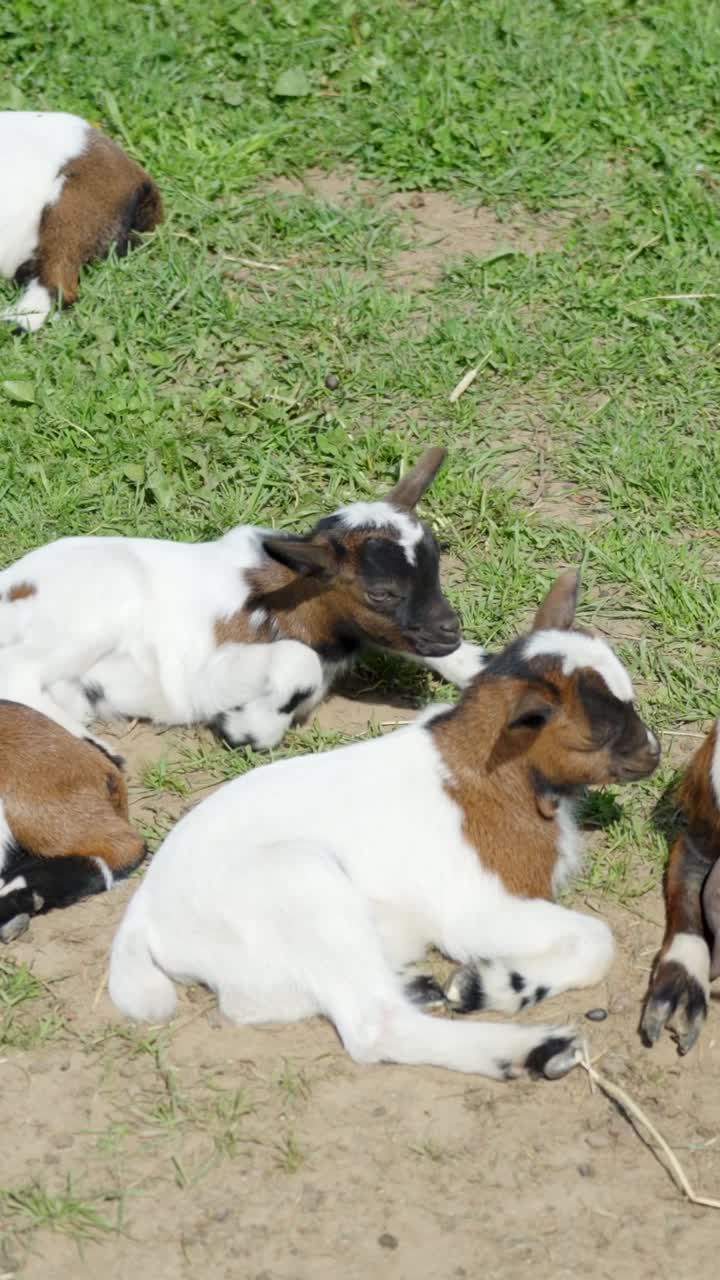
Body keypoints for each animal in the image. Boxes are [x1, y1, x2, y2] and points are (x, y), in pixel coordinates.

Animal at [0, 447, 485, 752]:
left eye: (435, 564)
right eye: (381, 592)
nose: (449, 631)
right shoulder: (200, 675)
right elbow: (296, 664)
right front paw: (248, 728)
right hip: (97, 609)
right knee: (18, 675)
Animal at [108, 569, 660, 1081]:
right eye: (600, 732)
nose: (654, 752)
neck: (490, 773)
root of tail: (144, 914)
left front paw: (484, 985)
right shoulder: (479, 908)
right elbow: (598, 940)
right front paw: (490, 987)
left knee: (259, 1002)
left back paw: (417, 985)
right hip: (301, 886)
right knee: (373, 1025)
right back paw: (535, 1051)